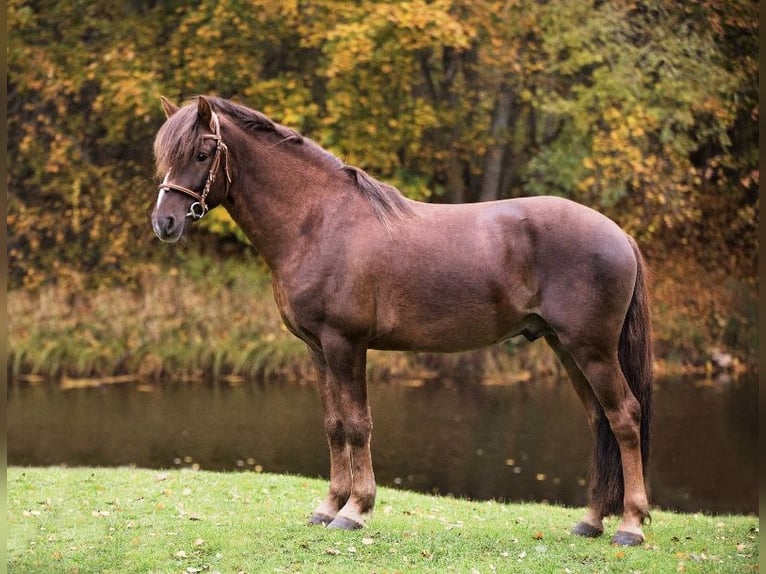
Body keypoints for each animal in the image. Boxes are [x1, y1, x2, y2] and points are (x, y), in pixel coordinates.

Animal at [151, 95, 653, 546]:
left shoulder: (345, 344)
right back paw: (591, 521)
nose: (164, 223)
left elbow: (358, 424)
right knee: (599, 421)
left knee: (624, 417)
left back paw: (630, 526)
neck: (319, 222)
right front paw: (327, 507)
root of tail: (619, 234)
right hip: (566, 348)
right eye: (165, 158)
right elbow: (333, 424)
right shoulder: (317, 348)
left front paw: (354, 511)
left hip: (592, 350)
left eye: (201, 154)